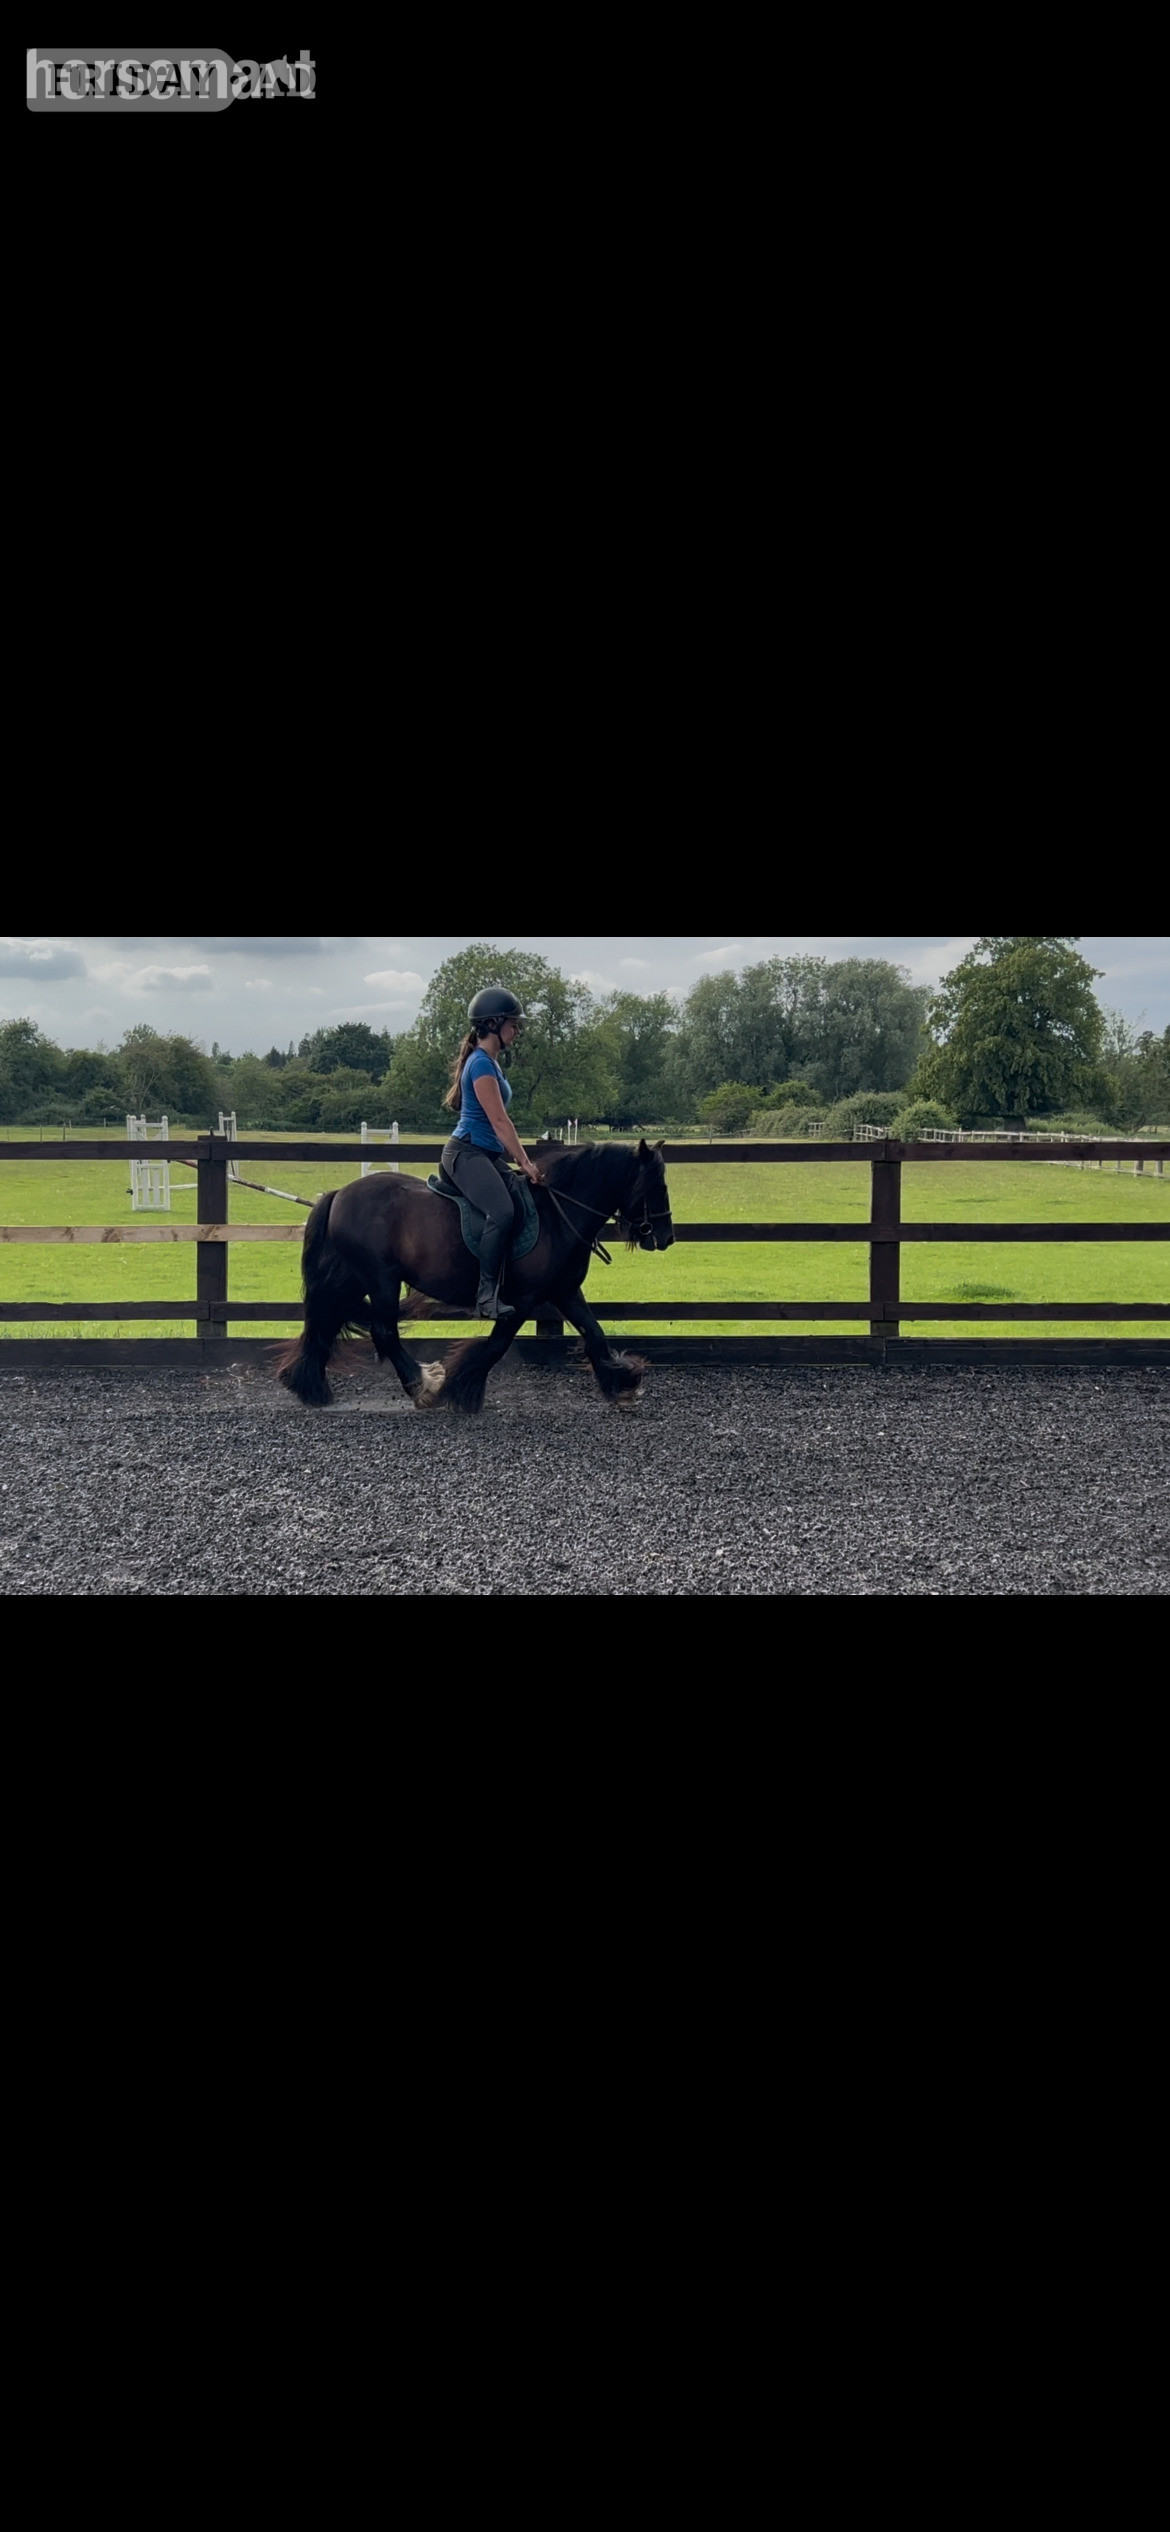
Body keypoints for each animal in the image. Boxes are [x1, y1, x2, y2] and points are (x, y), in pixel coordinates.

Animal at [275, 1138, 675, 1415]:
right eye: (657, 1186)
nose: (666, 1237)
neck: (557, 1215)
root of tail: (339, 1194)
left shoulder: (565, 1292)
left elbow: (595, 1332)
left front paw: (622, 1382)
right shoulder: (523, 1301)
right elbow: (495, 1346)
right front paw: (461, 1389)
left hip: (351, 1278)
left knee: (326, 1320)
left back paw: (311, 1387)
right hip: (380, 1279)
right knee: (382, 1330)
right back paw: (424, 1387)